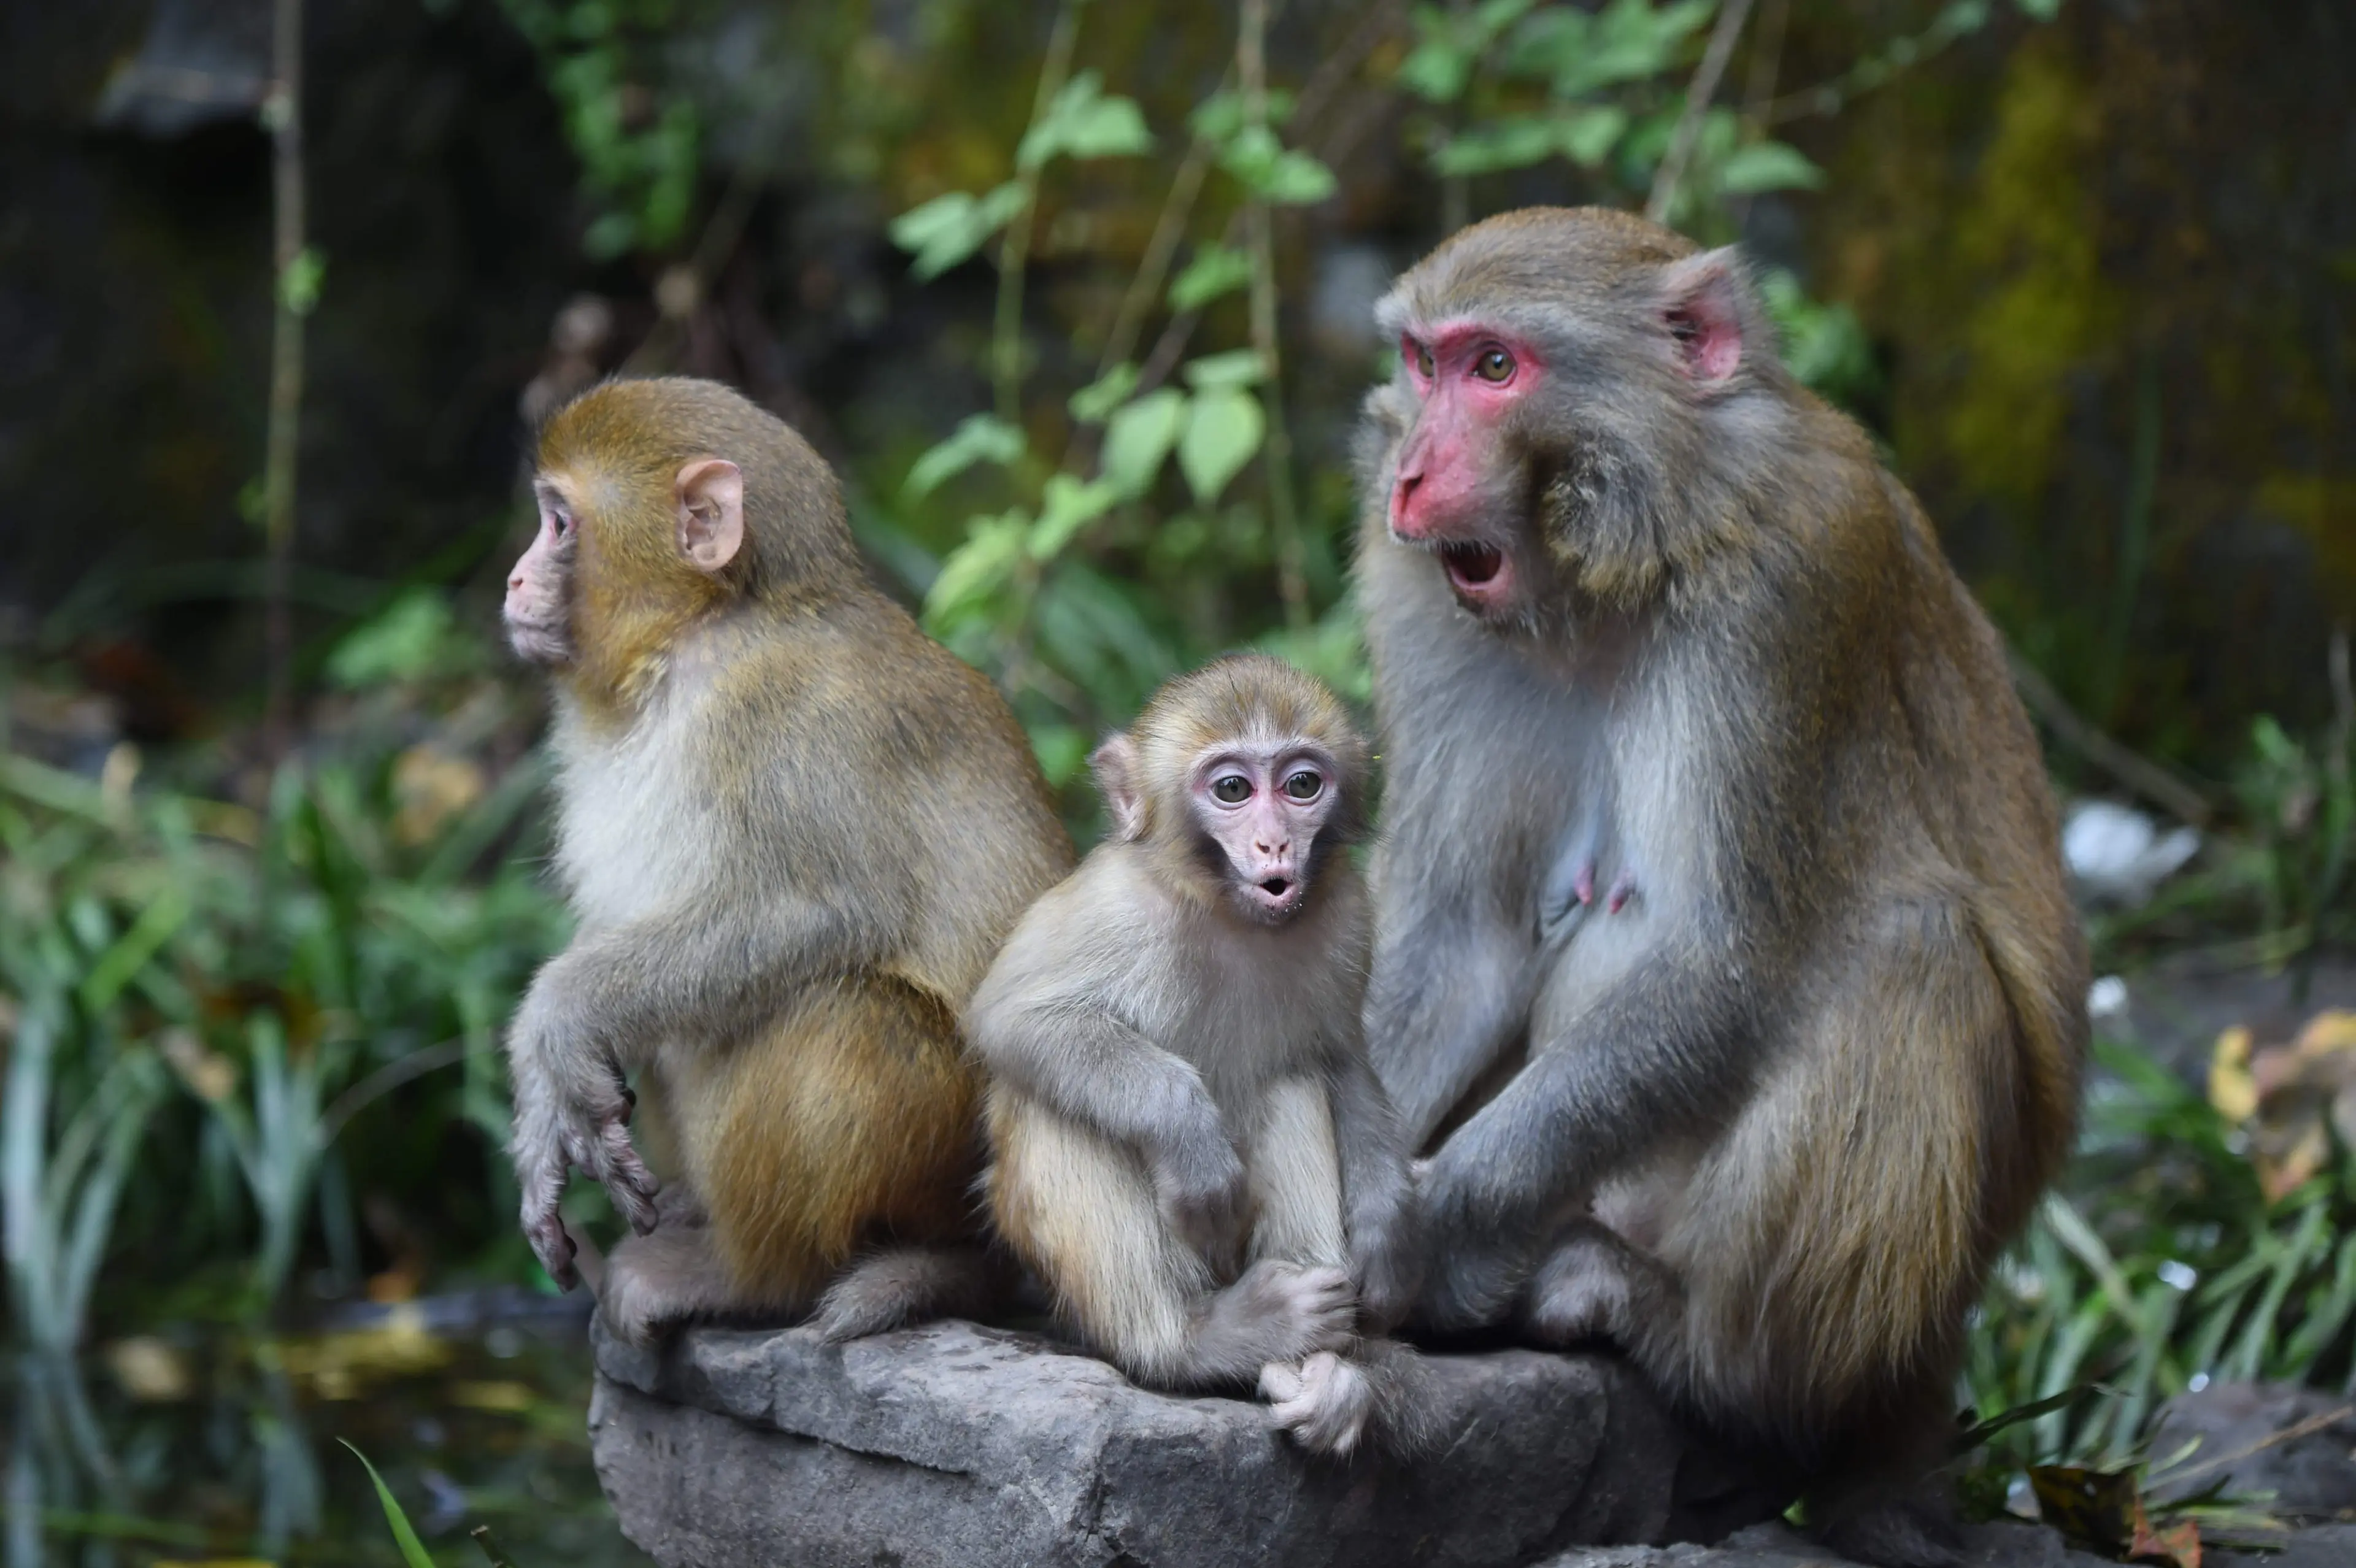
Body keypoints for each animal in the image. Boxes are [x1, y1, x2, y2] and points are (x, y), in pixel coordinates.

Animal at [500, 376, 1073, 1346]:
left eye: (560, 524)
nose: (511, 577)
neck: (703, 637)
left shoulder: (791, 716)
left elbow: (818, 913)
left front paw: (556, 1018)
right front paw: (543, 1109)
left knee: (839, 1013)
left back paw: (756, 1279)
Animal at [967, 655, 1430, 1458]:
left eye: (1301, 785)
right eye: (1233, 790)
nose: (1275, 845)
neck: (1229, 914)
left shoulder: (1348, 914)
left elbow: (1339, 1056)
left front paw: (1386, 1228)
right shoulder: (1113, 905)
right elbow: (1015, 1018)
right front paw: (1190, 1136)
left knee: (1291, 1080)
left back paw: (1321, 1369)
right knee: (1058, 1107)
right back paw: (1198, 1340)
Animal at [1352, 209, 2087, 1561]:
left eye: (1498, 369)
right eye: (1425, 365)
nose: (1411, 478)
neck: (1609, 574)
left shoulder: (1791, 586)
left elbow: (1730, 964)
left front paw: (1442, 1225)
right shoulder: (1413, 591)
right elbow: (1460, 936)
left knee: (1914, 950)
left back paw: (1688, 1341)